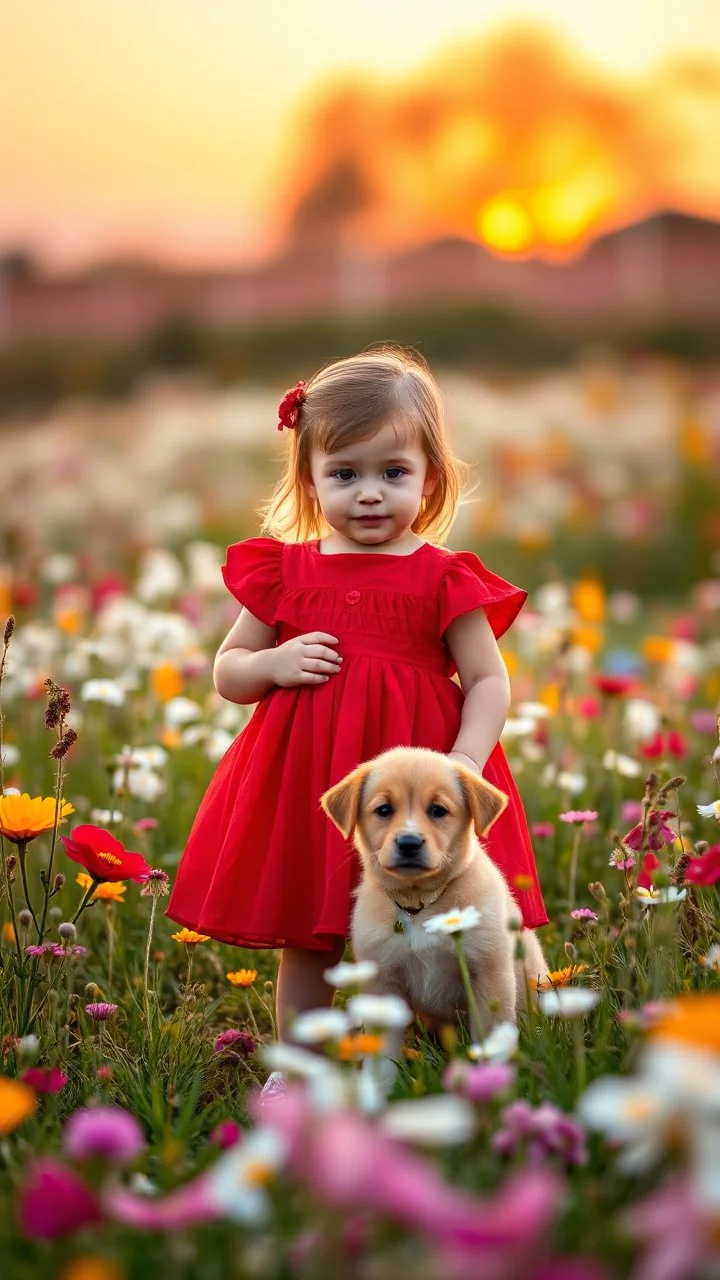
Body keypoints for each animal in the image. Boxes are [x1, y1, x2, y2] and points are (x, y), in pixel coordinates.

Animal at [319, 747, 543, 1059]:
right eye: (384, 810)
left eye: (438, 810)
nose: (409, 843)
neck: (420, 906)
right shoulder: (383, 982)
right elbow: (383, 1058)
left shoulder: (489, 972)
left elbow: (490, 1035)